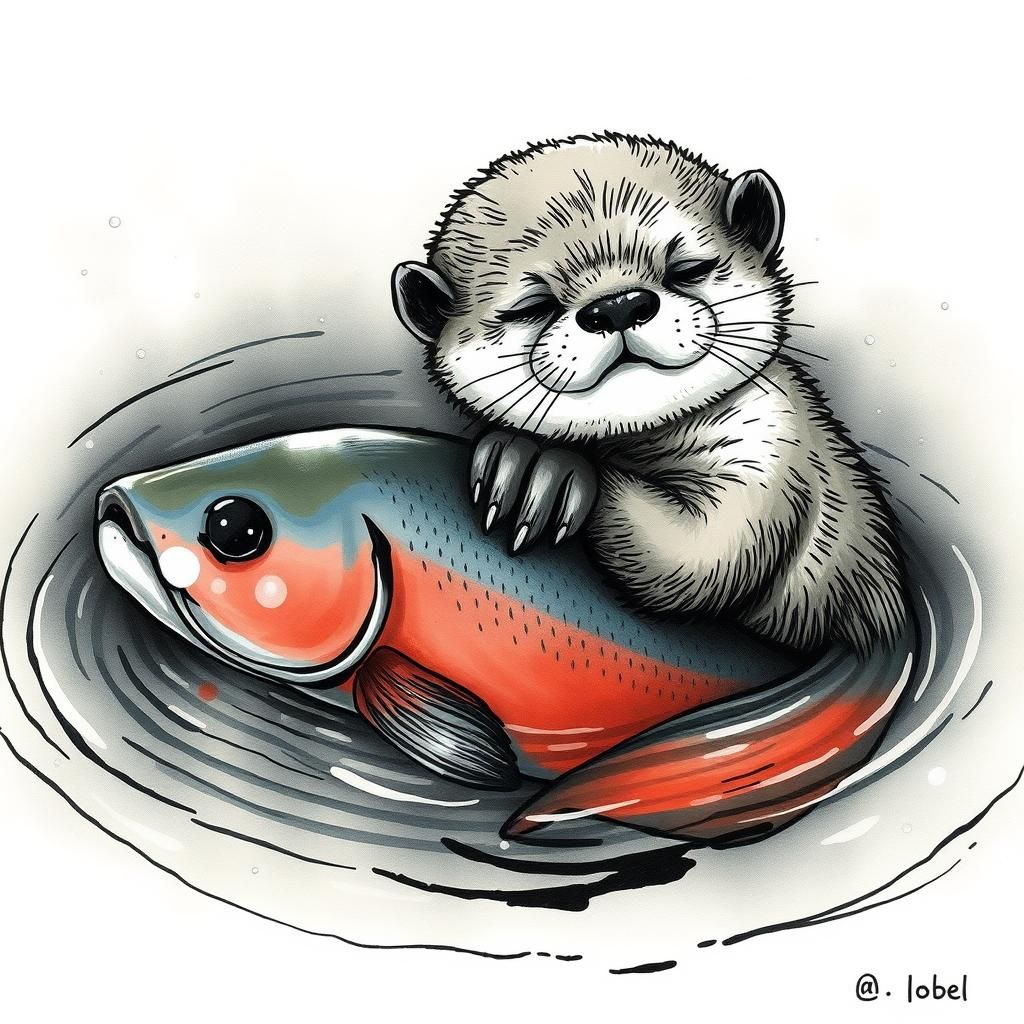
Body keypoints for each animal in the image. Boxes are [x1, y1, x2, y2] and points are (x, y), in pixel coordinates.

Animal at [391, 132, 907, 656]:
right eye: (531, 307)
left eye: (688, 269)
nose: (618, 305)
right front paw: (524, 455)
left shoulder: (774, 451)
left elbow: (698, 561)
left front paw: (542, 468)